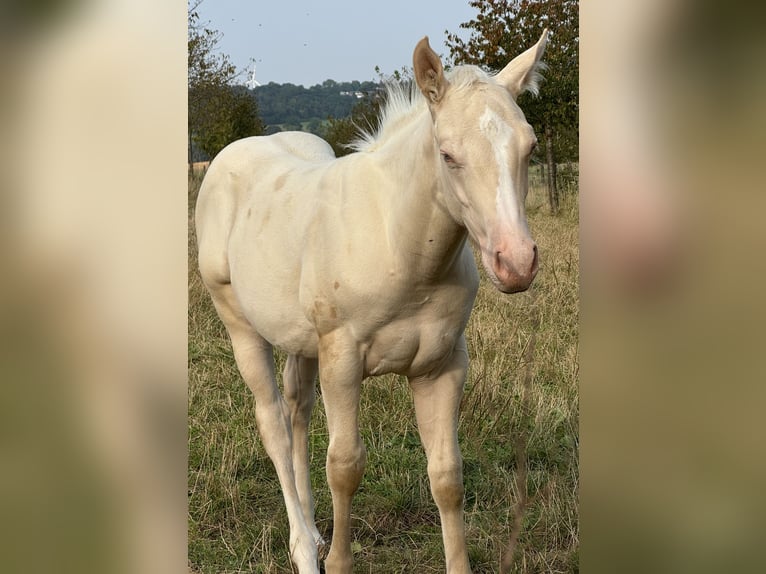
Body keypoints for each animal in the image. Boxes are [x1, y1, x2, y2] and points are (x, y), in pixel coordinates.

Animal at [195, 30, 548, 574]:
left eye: (530, 147)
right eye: (447, 154)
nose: (516, 262)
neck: (400, 246)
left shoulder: (442, 364)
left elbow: (447, 475)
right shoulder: (342, 361)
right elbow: (344, 466)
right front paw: (338, 561)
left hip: (302, 340)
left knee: (297, 413)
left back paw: (313, 532)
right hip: (240, 324)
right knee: (273, 423)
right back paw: (303, 548)